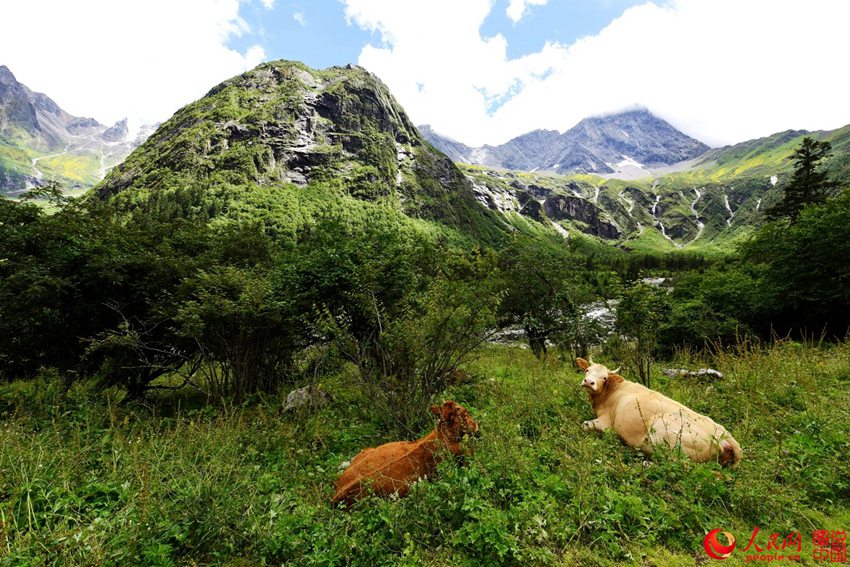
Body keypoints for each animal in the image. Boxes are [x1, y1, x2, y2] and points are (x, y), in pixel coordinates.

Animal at [576, 360, 736, 466]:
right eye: (587, 370)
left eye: (604, 377)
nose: (588, 382)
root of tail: (726, 438)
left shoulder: (606, 423)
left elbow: (584, 425)